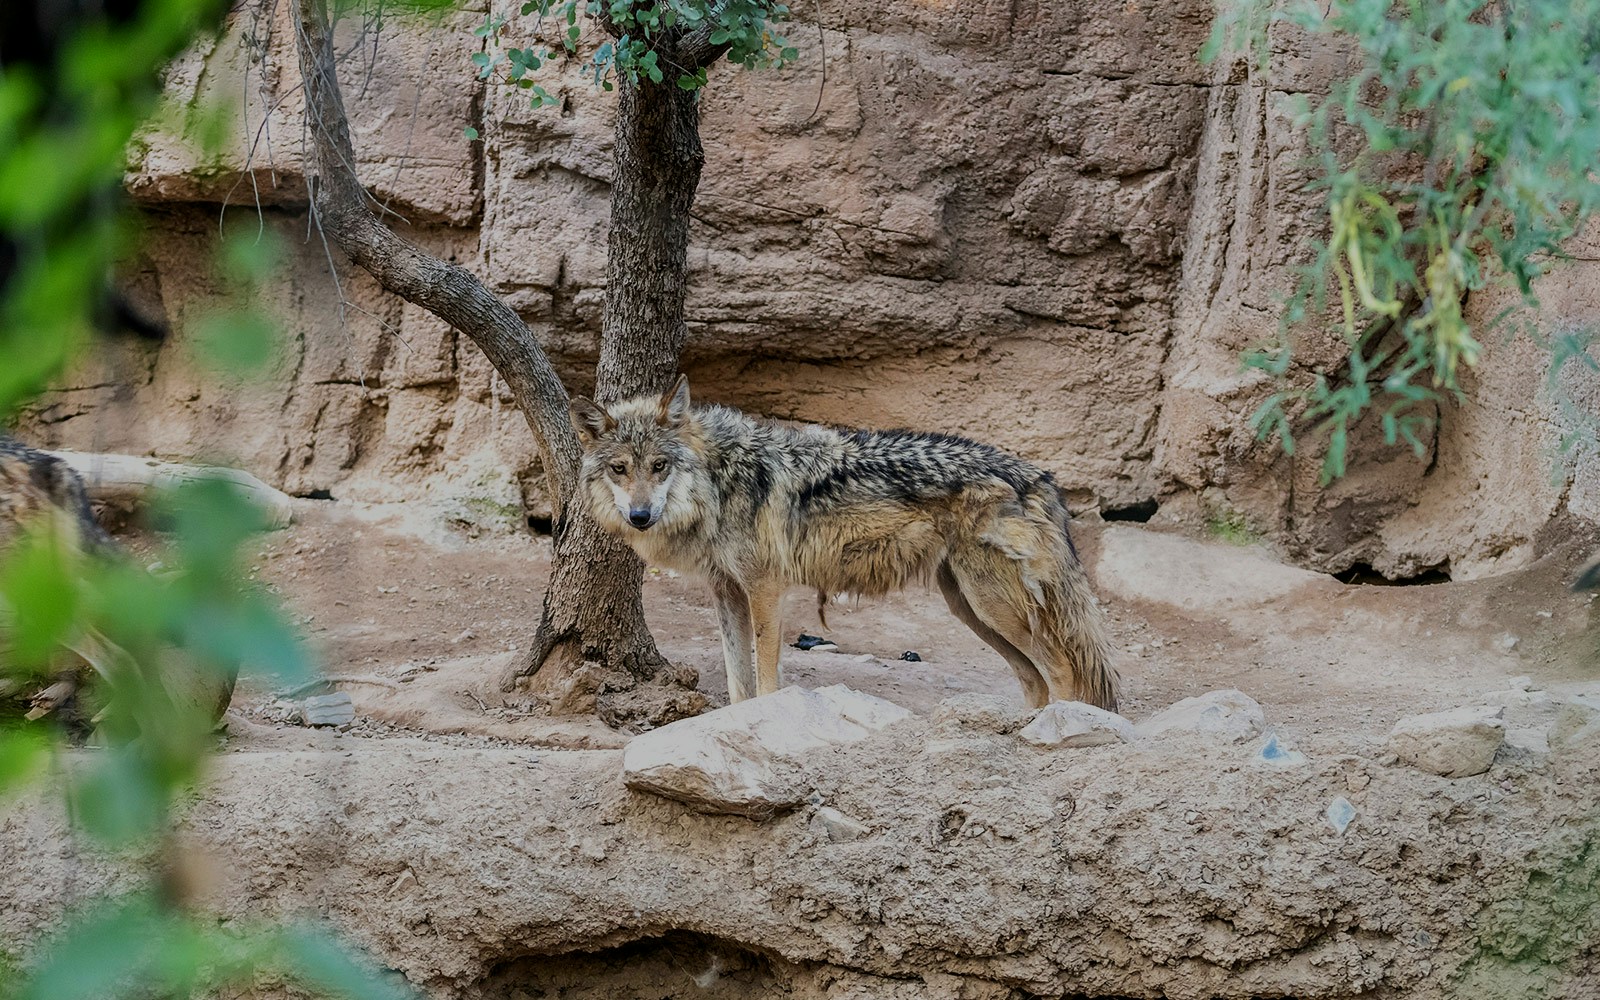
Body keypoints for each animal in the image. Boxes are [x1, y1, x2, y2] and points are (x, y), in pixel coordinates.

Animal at [569, 376, 1119, 711]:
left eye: (659, 466)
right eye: (620, 469)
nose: (640, 517)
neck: (719, 482)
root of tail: (1038, 474)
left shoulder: (766, 588)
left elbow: (764, 679)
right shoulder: (726, 591)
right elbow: (737, 682)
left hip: (994, 607)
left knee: (1063, 671)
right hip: (971, 609)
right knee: (1034, 679)